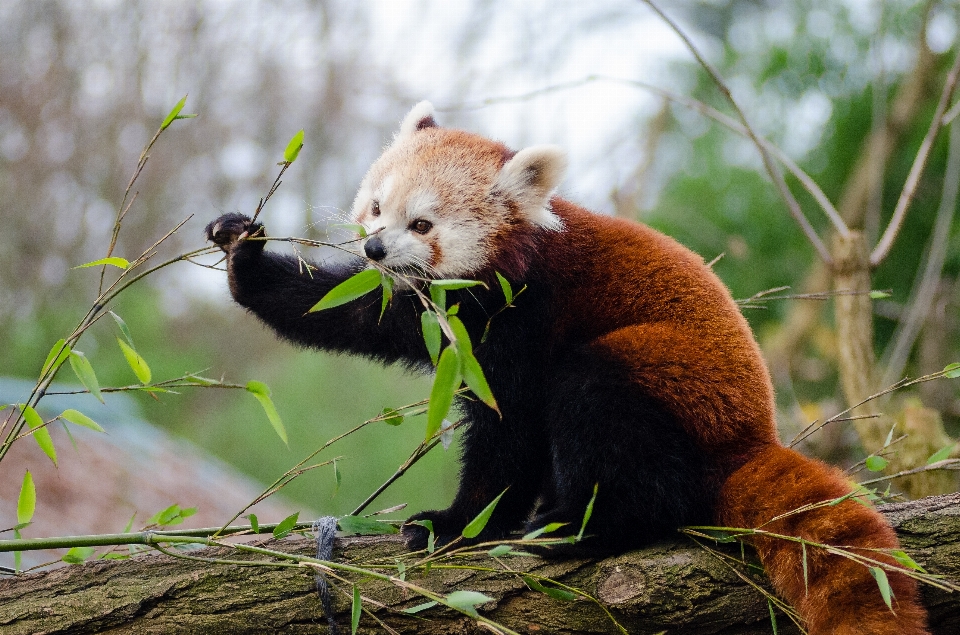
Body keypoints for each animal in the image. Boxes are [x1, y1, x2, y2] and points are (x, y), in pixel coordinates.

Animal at [208, 102, 928, 632]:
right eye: (378, 207)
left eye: (424, 223)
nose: (376, 248)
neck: (506, 268)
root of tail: (752, 435)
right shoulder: (433, 312)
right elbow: (351, 313)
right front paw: (246, 256)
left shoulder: (527, 316)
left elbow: (510, 430)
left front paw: (458, 523)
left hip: (669, 376)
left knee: (596, 400)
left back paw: (578, 527)